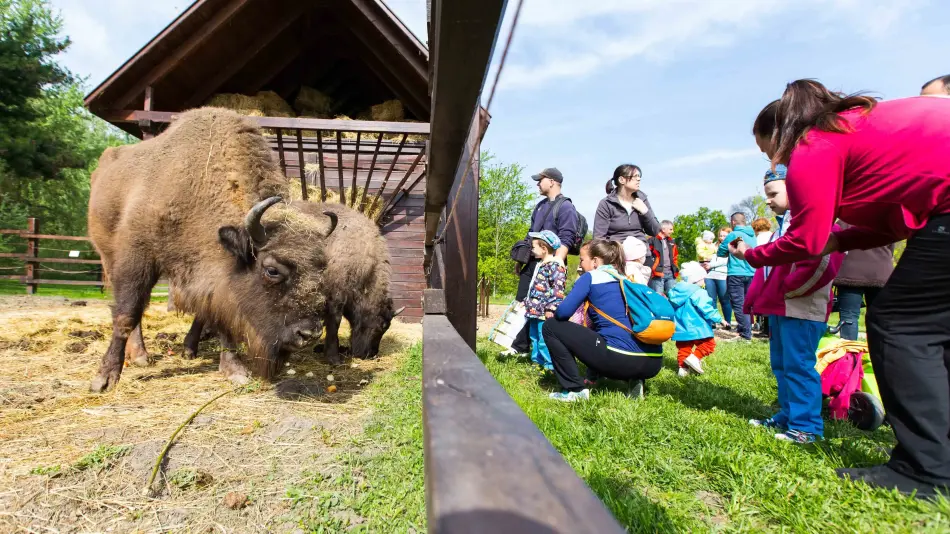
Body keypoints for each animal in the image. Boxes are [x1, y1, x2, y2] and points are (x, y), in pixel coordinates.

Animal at [86, 109, 338, 394]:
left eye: (322, 269)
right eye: (272, 270)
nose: (309, 334)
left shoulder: (217, 282)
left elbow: (220, 317)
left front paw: (234, 370)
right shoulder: (137, 257)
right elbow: (127, 313)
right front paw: (104, 378)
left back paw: (183, 349)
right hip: (108, 256)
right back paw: (140, 355)